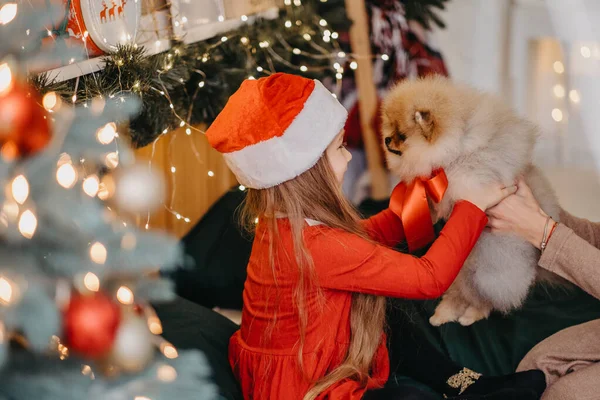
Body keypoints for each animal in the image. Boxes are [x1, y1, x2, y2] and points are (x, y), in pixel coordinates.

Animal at [382, 76, 560, 324]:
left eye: (402, 136)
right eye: (390, 128)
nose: (387, 139)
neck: (455, 145)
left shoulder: (467, 178)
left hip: (486, 271)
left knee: (485, 299)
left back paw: (470, 315)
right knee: (460, 293)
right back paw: (444, 313)